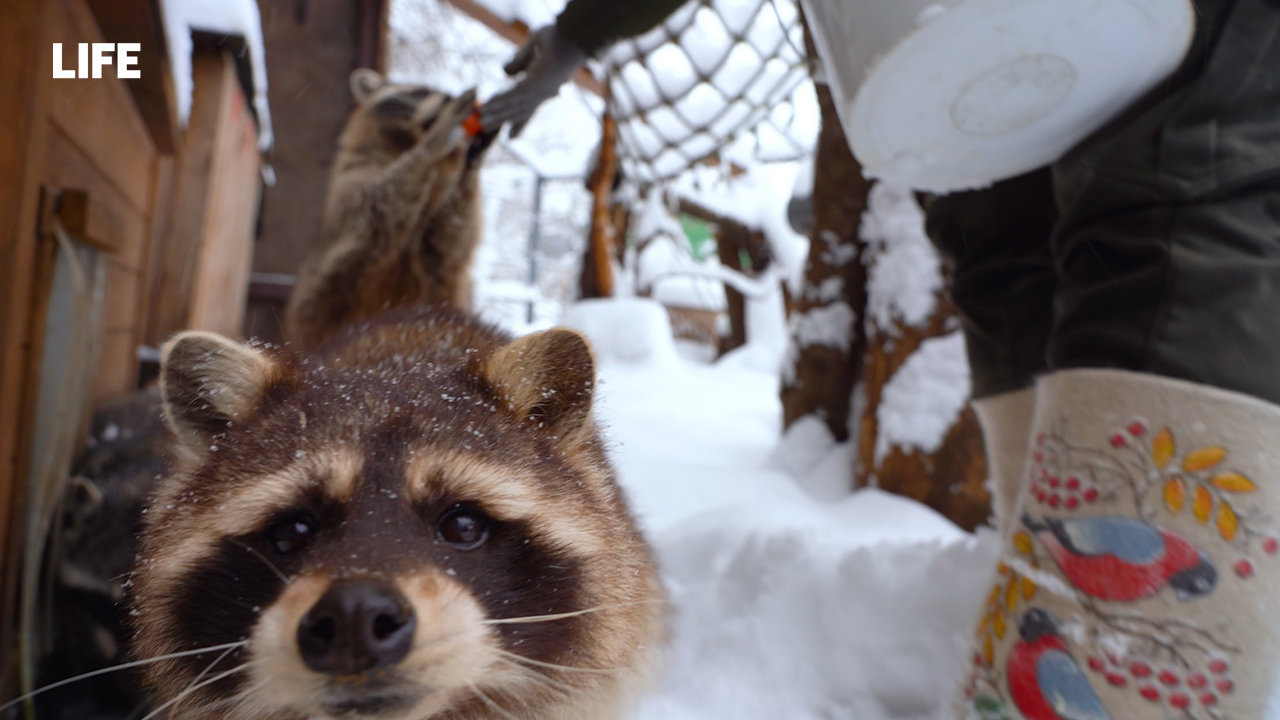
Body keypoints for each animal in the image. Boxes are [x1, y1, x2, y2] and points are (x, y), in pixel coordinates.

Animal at [284, 68, 488, 348]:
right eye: (420, 91)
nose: (448, 97)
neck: (404, 145)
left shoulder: (442, 259)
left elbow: (448, 245)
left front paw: (471, 157)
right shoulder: (349, 184)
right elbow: (373, 215)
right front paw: (434, 142)